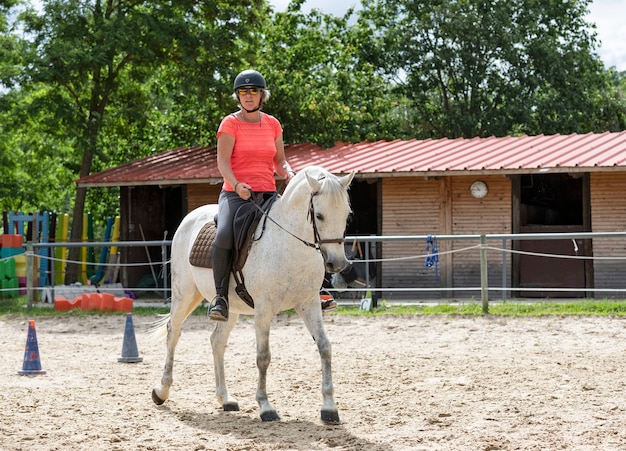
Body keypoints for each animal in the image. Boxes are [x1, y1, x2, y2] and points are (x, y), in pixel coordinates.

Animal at [151, 166, 354, 424]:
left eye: (347, 215)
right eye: (319, 215)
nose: (337, 264)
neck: (289, 244)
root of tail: (191, 217)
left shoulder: (308, 304)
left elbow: (325, 347)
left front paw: (329, 407)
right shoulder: (264, 309)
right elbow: (263, 356)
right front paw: (265, 407)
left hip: (230, 310)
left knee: (217, 341)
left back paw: (225, 399)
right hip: (184, 294)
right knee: (173, 334)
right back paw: (161, 391)